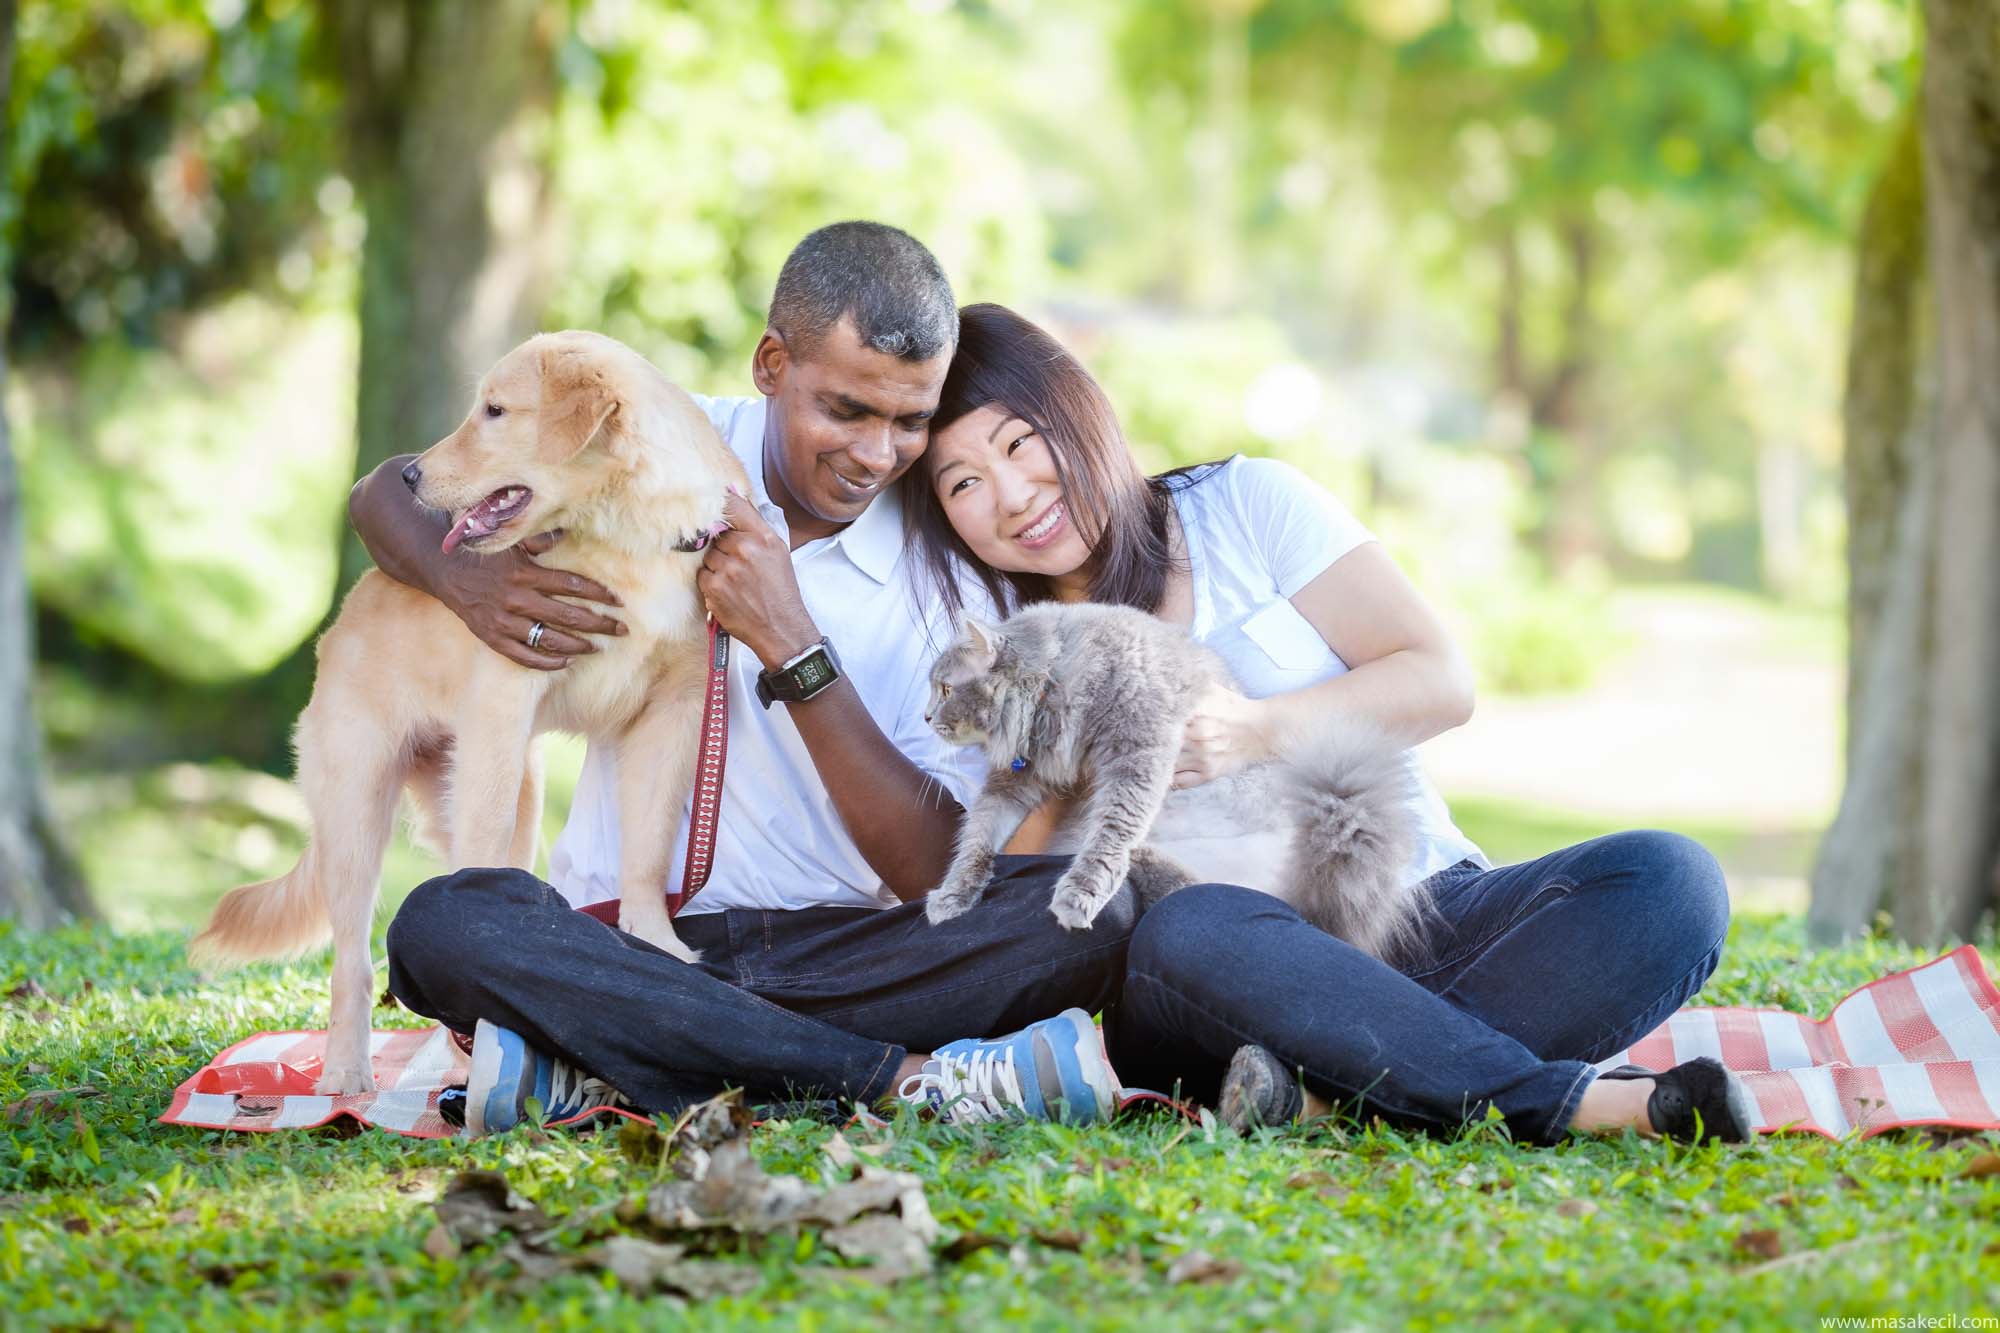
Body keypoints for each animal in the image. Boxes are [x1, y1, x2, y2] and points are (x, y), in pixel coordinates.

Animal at [193, 326, 752, 1088]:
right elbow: (480, 869)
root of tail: (342, 618)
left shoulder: (675, 713)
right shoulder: (504, 704)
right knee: (352, 962)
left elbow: (647, 851)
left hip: (515, 786)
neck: (623, 538)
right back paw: (347, 1074)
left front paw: (658, 943)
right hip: (359, 807)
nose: (407, 476)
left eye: (494, 410)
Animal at [928, 600, 1432, 956]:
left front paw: (1081, 892)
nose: (927, 716)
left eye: (946, 688)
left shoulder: (1140, 752)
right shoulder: (1014, 783)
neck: (1055, 677)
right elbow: (976, 839)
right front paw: (952, 896)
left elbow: (1113, 831)